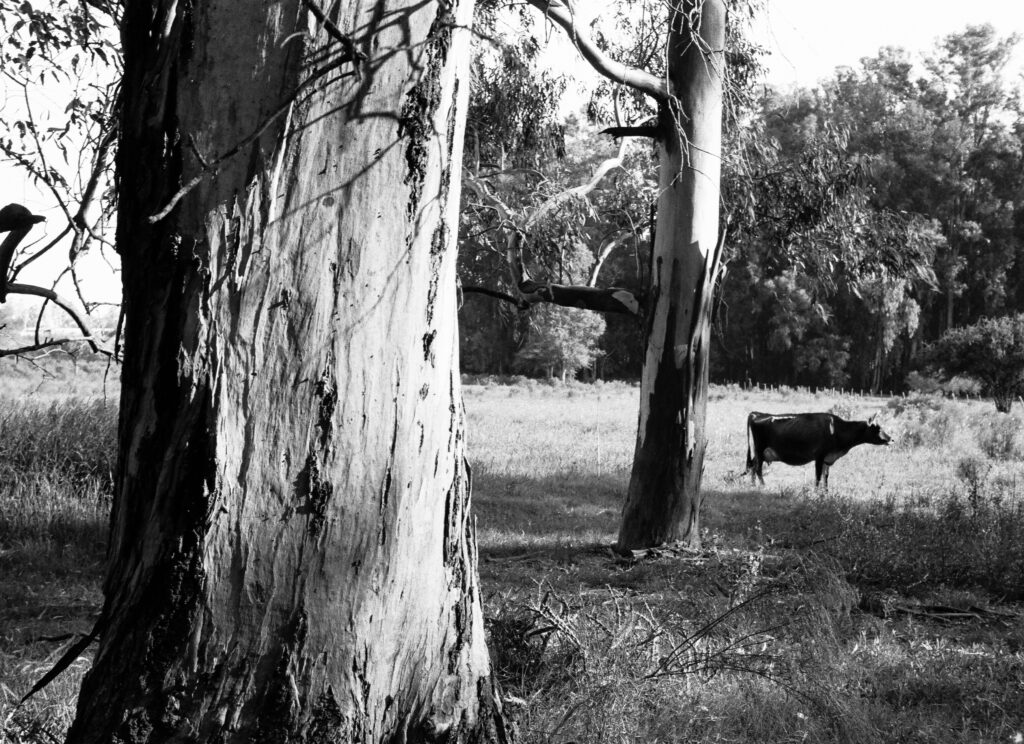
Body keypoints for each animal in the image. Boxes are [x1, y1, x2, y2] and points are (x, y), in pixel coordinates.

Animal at [745, 413, 888, 489]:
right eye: (878, 429)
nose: (890, 439)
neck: (835, 430)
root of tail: (758, 414)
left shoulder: (827, 458)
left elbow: (826, 477)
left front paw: (825, 493)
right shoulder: (819, 457)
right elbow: (818, 477)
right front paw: (816, 493)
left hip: (759, 453)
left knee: (753, 465)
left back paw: (753, 486)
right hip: (760, 449)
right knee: (758, 469)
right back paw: (763, 486)